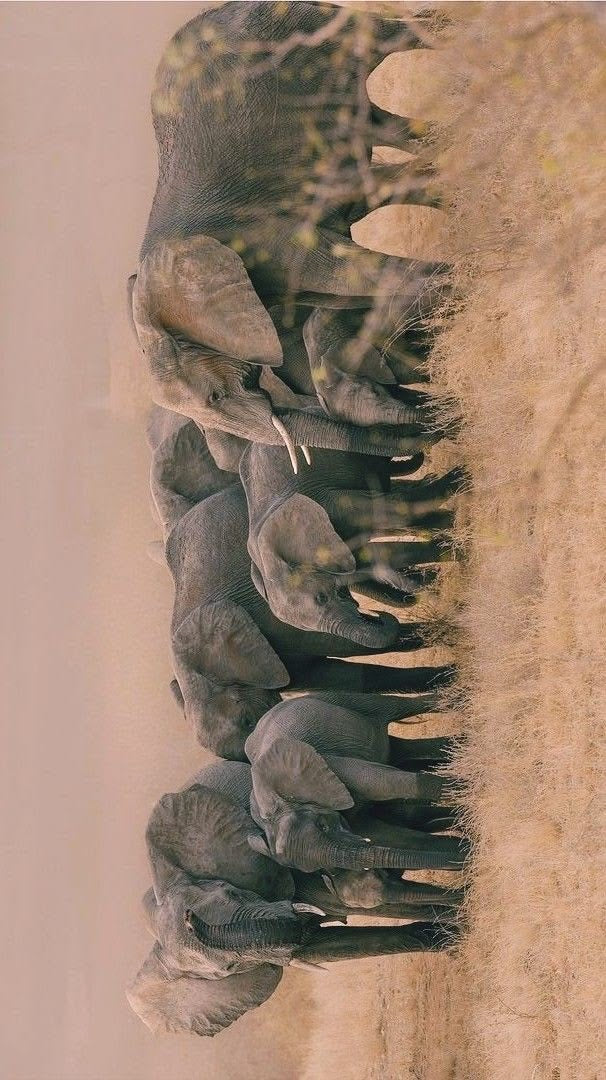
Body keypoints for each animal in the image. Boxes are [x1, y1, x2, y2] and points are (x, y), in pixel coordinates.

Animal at [130, 1, 450, 459]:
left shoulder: (264, 240)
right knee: (380, 128)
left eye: (215, 397)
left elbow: (347, 271)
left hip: (294, 27)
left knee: (386, 39)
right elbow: (324, 310)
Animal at [245, 693, 467, 873]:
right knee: (403, 750)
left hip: (331, 699)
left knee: (392, 706)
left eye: (323, 826)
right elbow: (387, 834)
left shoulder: (329, 763)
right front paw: (463, 850)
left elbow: (382, 782)